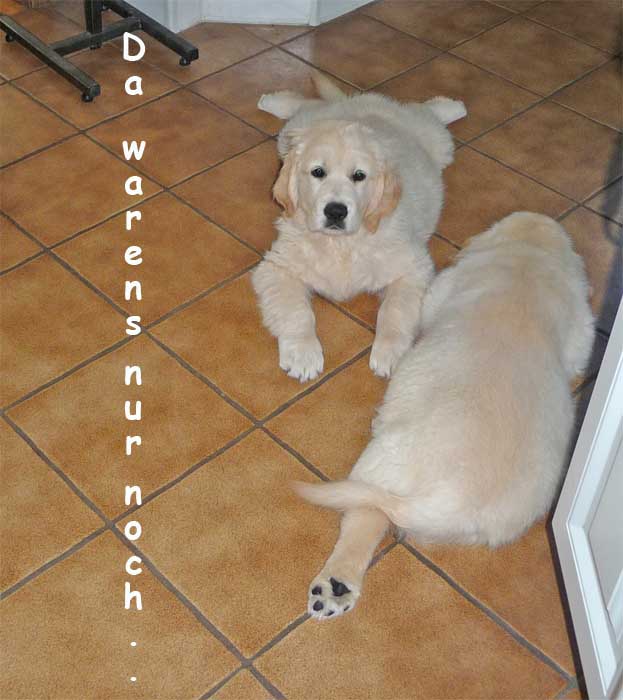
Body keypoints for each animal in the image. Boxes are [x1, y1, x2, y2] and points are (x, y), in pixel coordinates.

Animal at [252, 74, 466, 381]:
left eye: (359, 176)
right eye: (318, 172)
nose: (336, 211)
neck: (342, 244)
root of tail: (357, 102)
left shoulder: (413, 267)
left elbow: (394, 310)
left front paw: (389, 354)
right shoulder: (277, 267)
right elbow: (297, 311)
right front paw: (303, 354)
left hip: (436, 142)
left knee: (425, 114)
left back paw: (451, 106)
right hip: (291, 134)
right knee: (306, 104)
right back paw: (273, 100)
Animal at [295, 212, 595, 619]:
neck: (529, 259)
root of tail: (451, 504)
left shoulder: (441, 290)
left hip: (381, 465)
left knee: (364, 518)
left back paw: (335, 584)